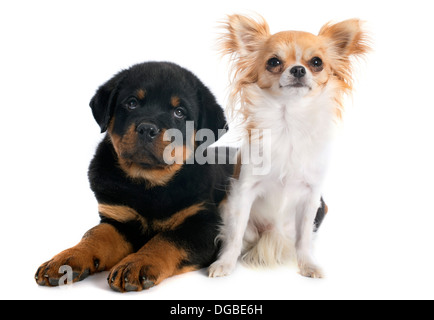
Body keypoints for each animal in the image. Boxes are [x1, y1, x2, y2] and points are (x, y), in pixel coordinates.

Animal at [36, 60, 234, 292]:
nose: (147, 128)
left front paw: (137, 263)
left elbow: (165, 240)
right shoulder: (118, 219)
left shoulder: (204, 225)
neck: (148, 182)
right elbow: (94, 234)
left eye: (179, 112)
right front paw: (67, 258)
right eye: (132, 103)